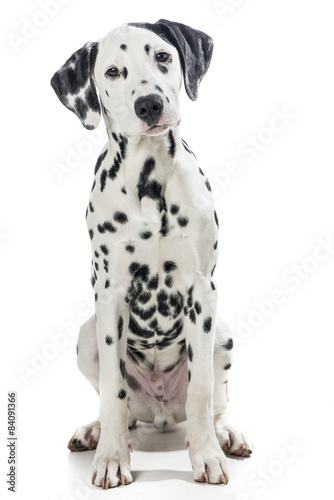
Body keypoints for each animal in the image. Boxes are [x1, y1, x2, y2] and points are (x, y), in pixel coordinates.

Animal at [51, 18, 252, 488]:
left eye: (162, 56)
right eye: (112, 72)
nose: (149, 104)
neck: (150, 182)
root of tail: (160, 411)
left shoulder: (202, 291)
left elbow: (202, 389)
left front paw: (207, 455)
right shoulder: (109, 296)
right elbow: (113, 390)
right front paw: (111, 458)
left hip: (224, 335)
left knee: (216, 400)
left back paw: (225, 434)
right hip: (86, 336)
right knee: (120, 408)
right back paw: (98, 431)